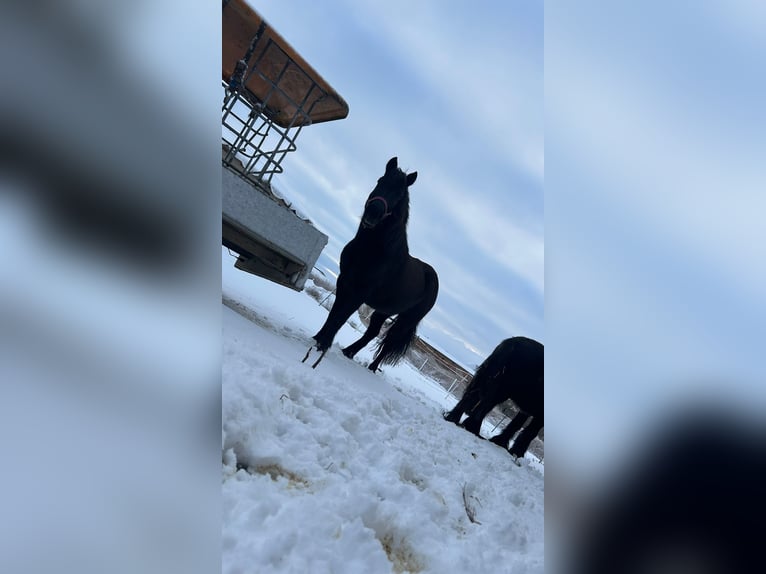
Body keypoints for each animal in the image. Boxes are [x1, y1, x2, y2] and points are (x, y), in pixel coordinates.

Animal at [304, 158, 440, 374]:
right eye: (380, 181)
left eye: (400, 193)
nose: (373, 213)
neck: (373, 251)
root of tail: (432, 277)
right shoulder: (344, 282)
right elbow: (334, 313)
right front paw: (317, 339)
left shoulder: (360, 292)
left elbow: (341, 317)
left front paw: (323, 344)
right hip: (384, 311)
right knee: (373, 331)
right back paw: (348, 352)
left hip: (406, 320)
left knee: (390, 341)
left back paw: (372, 367)